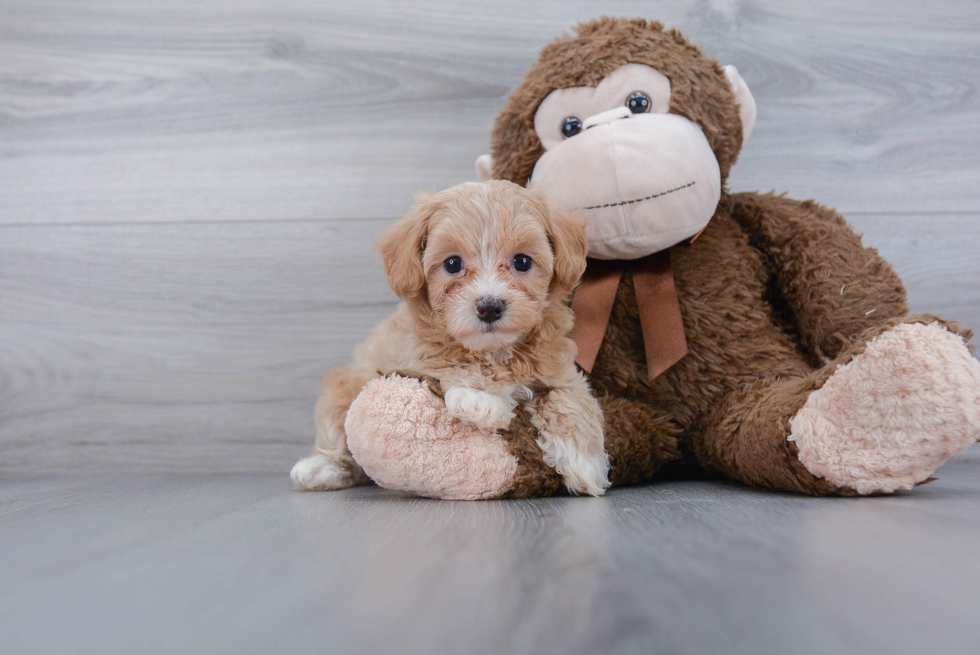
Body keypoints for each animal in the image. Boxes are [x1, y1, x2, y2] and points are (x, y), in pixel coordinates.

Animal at [290, 179, 608, 498]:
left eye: (522, 261)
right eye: (453, 264)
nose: (490, 306)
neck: (494, 353)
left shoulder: (559, 369)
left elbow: (568, 398)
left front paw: (585, 462)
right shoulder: (416, 352)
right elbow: (447, 360)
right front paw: (480, 398)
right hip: (343, 388)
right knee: (338, 438)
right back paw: (320, 468)